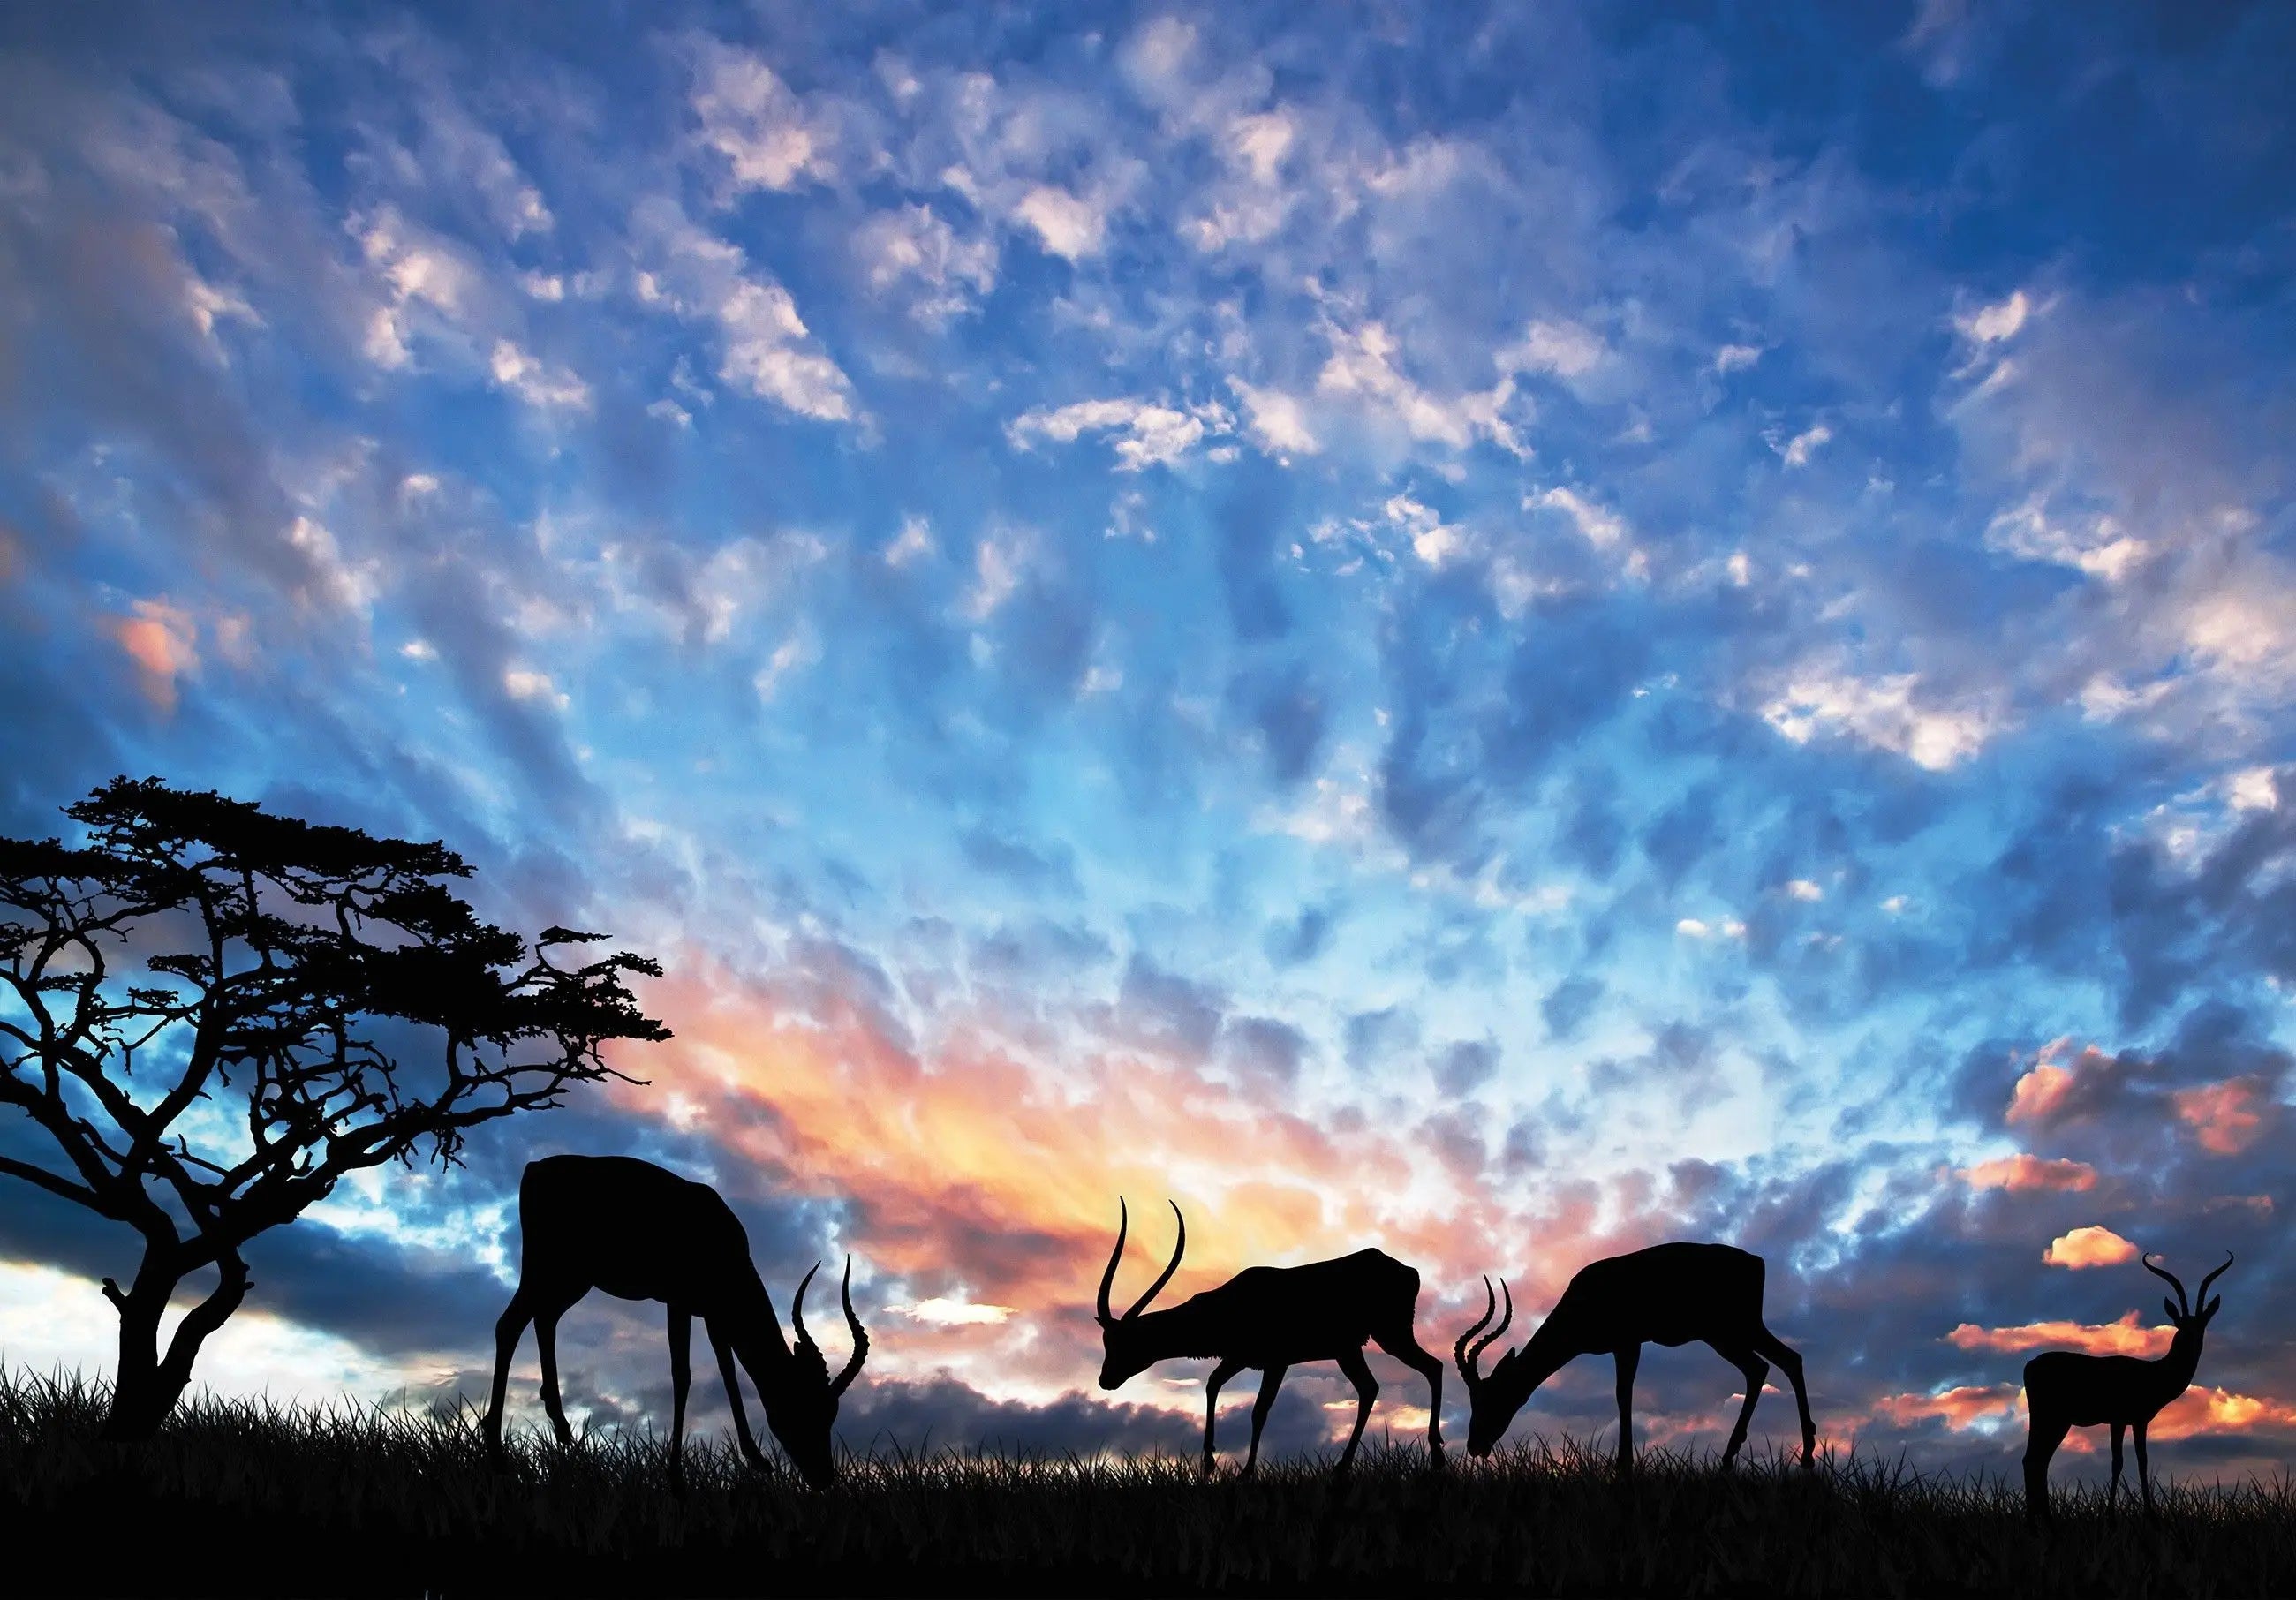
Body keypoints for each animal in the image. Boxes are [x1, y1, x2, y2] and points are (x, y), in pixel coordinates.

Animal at [480, 1152, 863, 1487]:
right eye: (802, 1408)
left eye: (831, 1414)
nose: (823, 1478)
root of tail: (535, 1169)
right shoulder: (678, 1302)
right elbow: (682, 1374)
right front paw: (676, 1475)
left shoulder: (714, 1314)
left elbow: (727, 1371)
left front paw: (756, 1458)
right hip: (546, 1269)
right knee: (509, 1324)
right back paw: (497, 1453)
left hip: (571, 1279)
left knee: (544, 1320)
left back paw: (561, 1428)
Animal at [1097, 1193, 1451, 1468]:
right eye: (1106, 1342)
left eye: (1125, 1342)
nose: (1105, 1379)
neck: (1230, 1305)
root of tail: (1409, 1271)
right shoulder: (1238, 1357)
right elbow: (1212, 1384)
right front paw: (1209, 1461)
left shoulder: (1276, 1362)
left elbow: (1259, 1411)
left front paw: (1246, 1472)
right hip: (1351, 1348)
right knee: (1381, 1384)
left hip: (1388, 1335)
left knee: (1423, 1369)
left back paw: (1428, 1456)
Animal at [1451, 1239, 1809, 1468]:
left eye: (1488, 1398)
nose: (1474, 1445)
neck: (1583, 1301)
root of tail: (1755, 1261)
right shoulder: (1624, 1345)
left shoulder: (1628, 1342)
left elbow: (1623, 1394)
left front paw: (1624, 1467)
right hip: (1739, 1332)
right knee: (1784, 1362)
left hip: (1728, 1333)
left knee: (1765, 1366)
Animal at [2029, 1249, 2222, 1524]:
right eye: (2181, 1325)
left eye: (2202, 1325)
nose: (2192, 1341)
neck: (2154, 1373)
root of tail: (2030, 1365)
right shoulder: (2121, 1419)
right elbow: (2119, 1461)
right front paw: (2115, 1516)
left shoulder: (2137, 1420)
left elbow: (2141, 1460)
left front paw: (2149, 1515)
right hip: (2053, 1418)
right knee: (2036, 1458)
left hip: (2049, 1419)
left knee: (2035, 1459)